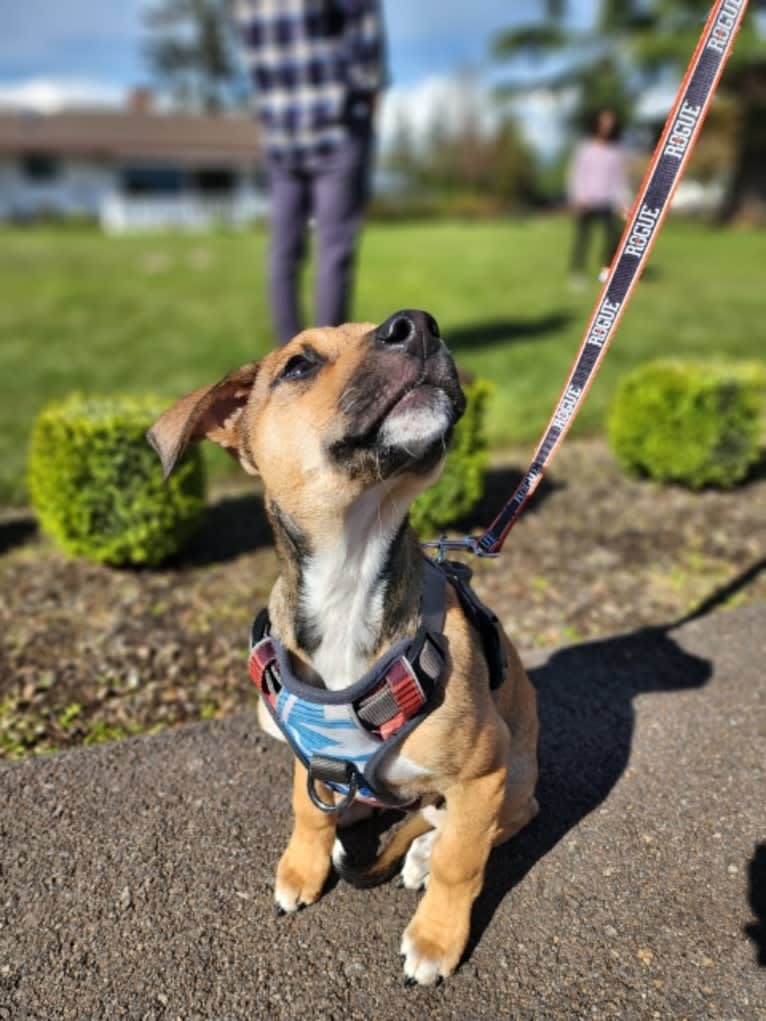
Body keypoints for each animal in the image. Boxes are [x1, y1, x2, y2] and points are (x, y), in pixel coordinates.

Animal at [150, 308, 539, 980]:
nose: (418, 324)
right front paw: (303, 867)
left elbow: (462, 865)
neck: (349, 578)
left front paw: (437, 939)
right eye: (298, 364)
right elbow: (306, 810)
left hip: (514, 780)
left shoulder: (484, 770)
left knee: (475, 827)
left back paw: (422, 853)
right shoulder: (304, 755)